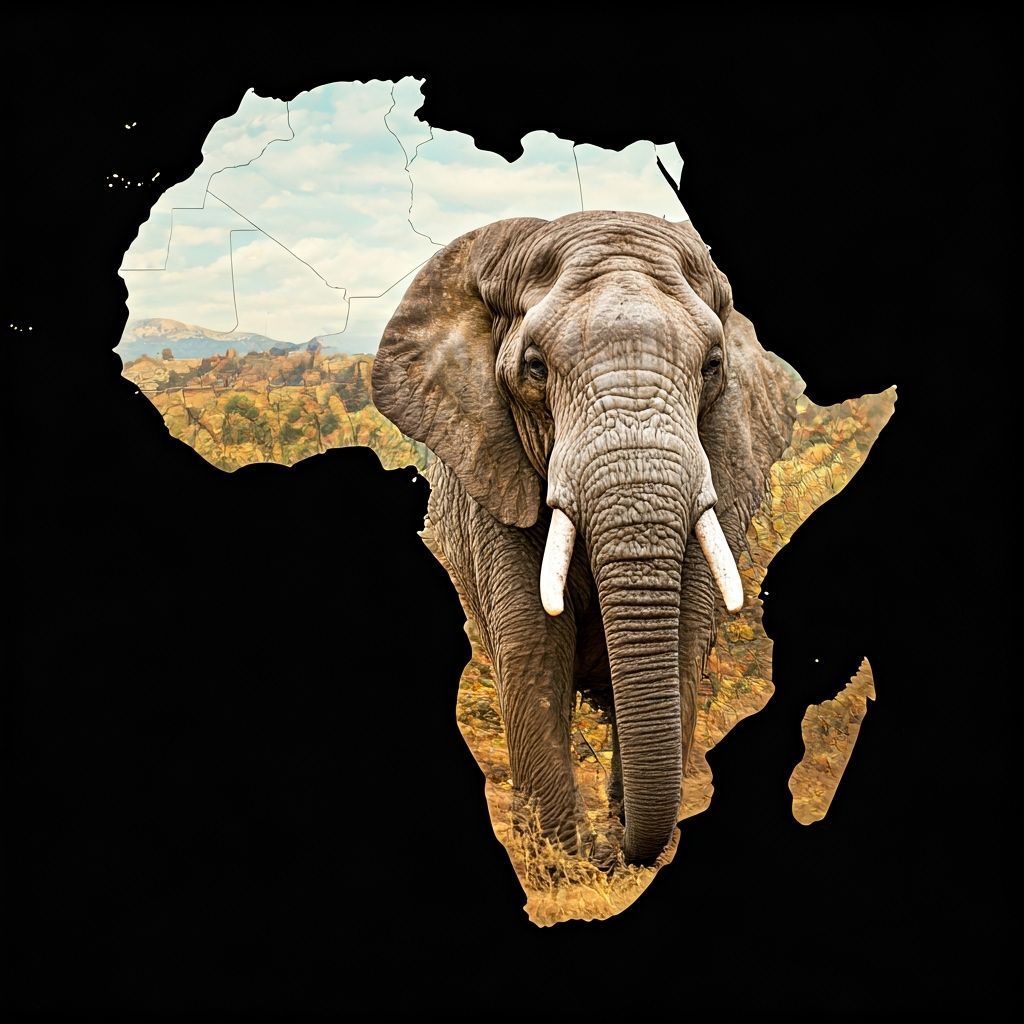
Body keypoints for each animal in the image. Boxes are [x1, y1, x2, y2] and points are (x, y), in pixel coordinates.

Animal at [372, 210, 800, 866]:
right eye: (535, 368)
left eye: (712, 367)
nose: (615, 847)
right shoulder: (493, 477)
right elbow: (534, 641)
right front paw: (564, 863)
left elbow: (682, 631)